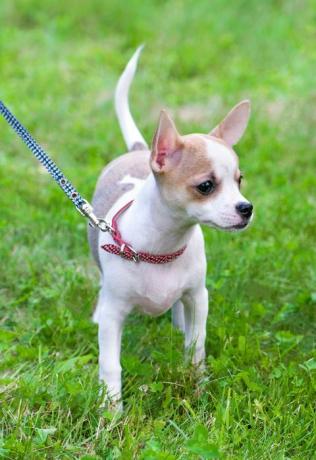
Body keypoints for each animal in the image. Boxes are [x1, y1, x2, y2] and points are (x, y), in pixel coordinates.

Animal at [87, 45, 253, 406]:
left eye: (239, 181)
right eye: (206, 186)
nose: (246, 208)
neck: (162, 248)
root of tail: (139, 150)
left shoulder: (199, 297)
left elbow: (196, 345)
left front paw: (197, 383)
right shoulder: (114, 316)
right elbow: (110, 364)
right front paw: (111, 411)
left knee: (181, 312)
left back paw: (178, 323)